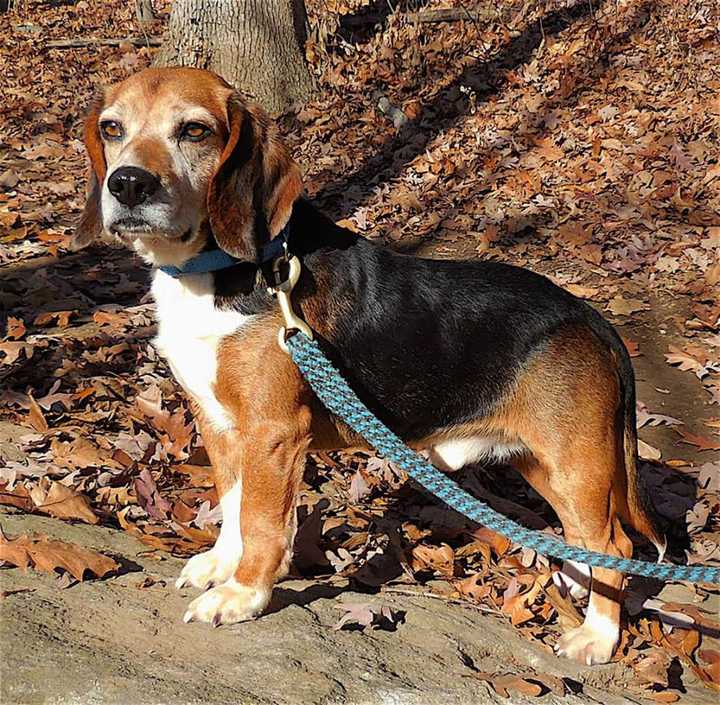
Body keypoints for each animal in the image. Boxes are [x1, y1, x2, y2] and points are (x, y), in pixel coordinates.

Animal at [74, 67, 664, 664]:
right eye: (112, 128)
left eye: (194, 131)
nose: (127, 185)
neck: (215, 271)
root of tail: (592, 318)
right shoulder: (220, 424)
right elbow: (234, 505)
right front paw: (221, 565)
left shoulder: (272, 433)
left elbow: (261, 522)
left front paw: (243, 594)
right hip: (542, 464)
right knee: (589, 540)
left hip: (574, 464)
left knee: (614, 543)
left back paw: (597, 635)